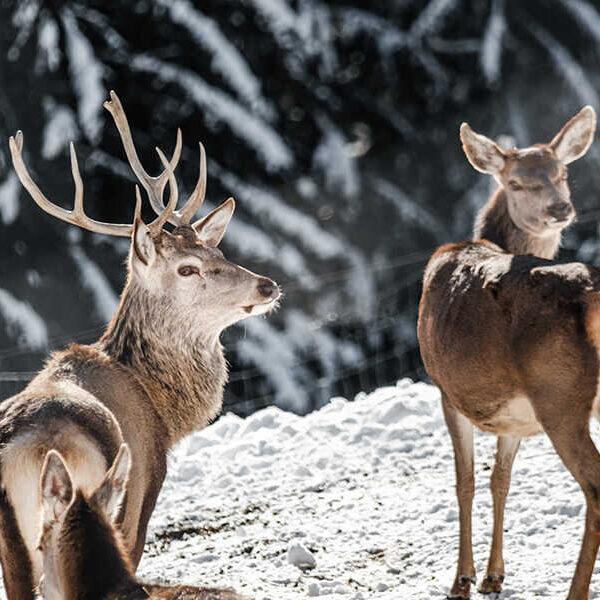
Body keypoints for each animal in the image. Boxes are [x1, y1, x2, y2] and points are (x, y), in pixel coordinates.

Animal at [418, 105, 600, 596]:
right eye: (516, 182)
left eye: (562, 173)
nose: (560, 208)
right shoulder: (515, 415)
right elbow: (500, 480)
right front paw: (493, 574)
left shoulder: (445, 389)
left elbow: (464, 482)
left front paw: (461, 579)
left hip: (561, 396)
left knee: (596, 489)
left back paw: (574, 592)